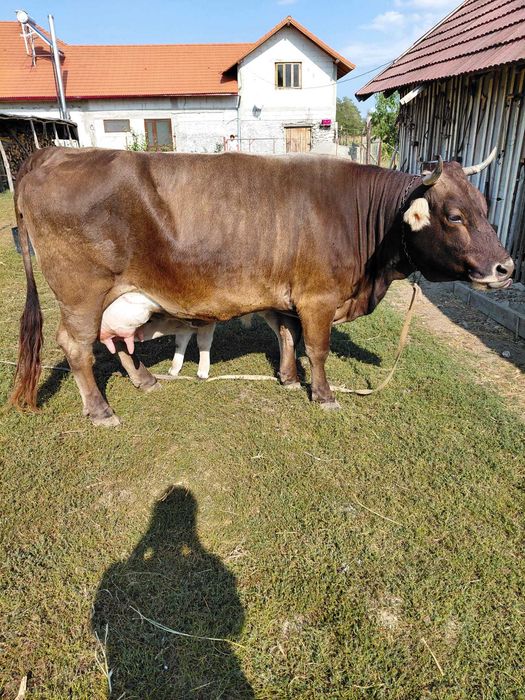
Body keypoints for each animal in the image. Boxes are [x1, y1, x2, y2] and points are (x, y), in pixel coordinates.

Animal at [10, 147, 513, 426]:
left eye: (486, 206)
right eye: (455, 216)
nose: (505, 267)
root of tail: (53, 154)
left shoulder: (289, 296)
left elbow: (288, 336)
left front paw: (289, 379)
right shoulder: (317, 298)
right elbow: (318, 348)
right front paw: (323, 396)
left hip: (119, 298)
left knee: (116, 339)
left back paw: (145, 380)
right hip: (82, 294)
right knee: (77, 346)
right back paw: (101, 411)